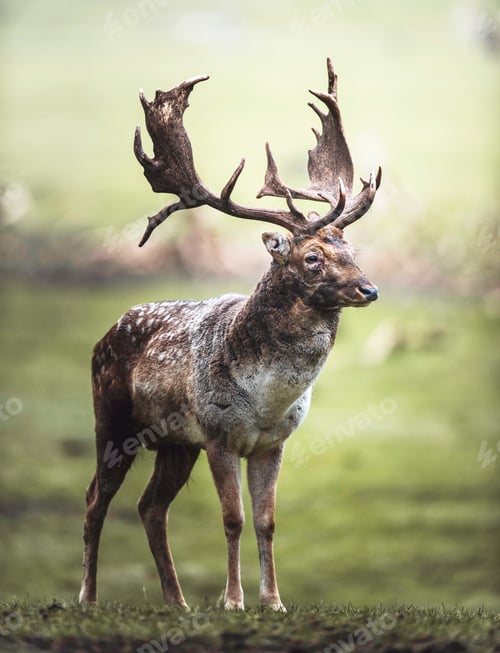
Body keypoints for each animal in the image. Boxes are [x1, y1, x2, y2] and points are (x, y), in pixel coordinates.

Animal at [79, 58, 381, 612]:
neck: (266, 399)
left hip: (175, 444)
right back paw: (87, 597)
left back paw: (176, 603)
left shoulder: (272, 443)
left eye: (350, 249)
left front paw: (273, 602)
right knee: (95, 498)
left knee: (150, 506)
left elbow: (266, 521)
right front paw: (233, 601)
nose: (369, 289)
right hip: (112, 420)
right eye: (312, 257)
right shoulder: (219, 435)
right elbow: (233, 519)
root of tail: (105, 334)